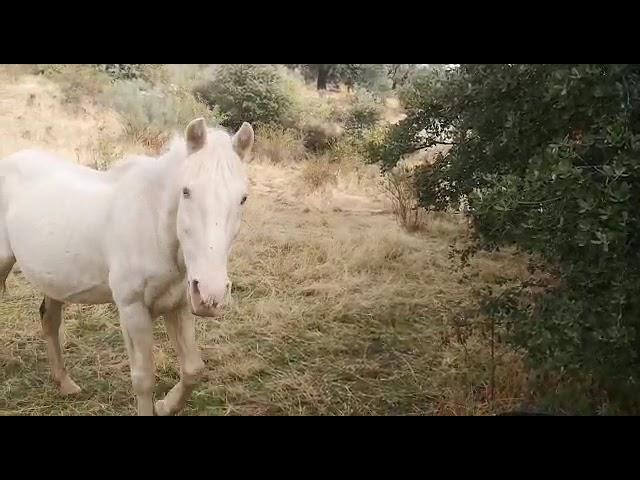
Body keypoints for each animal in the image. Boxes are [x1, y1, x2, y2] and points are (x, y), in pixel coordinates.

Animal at [0, 118, 255, 414]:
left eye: (243, 198)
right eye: (186, 191)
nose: (210, 297)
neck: (152, 222)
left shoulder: (177, 305)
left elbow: (193, 370)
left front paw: (165, 405)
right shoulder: (133, 310)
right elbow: (143, 379)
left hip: (55, 280)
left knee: (49, 320)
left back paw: (65, 384)